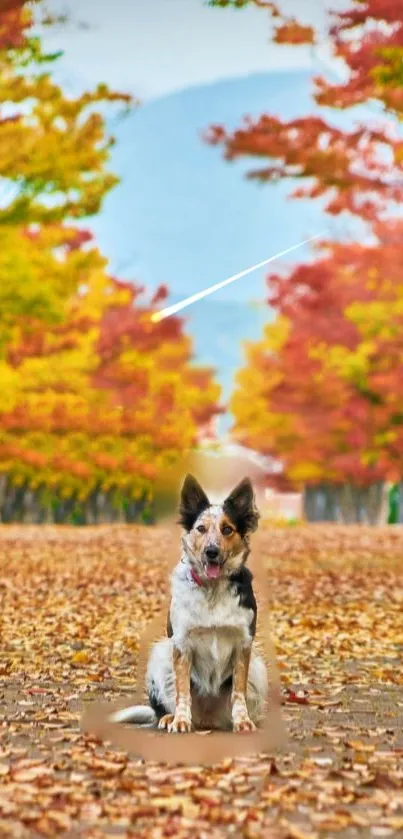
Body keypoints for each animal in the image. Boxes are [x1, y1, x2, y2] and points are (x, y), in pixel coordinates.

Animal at [110, 476, 268, 732]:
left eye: (227, 529)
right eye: (201, 529)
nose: (211, 551)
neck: (212, 589)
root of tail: (208, 720)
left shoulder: (243, 645)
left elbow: (238, 693)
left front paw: (242, 720)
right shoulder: (182, 644)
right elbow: (182, 692)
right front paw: (181, 720)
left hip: (257, 666)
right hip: (161, 654)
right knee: (167, 702)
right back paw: (168, 717)